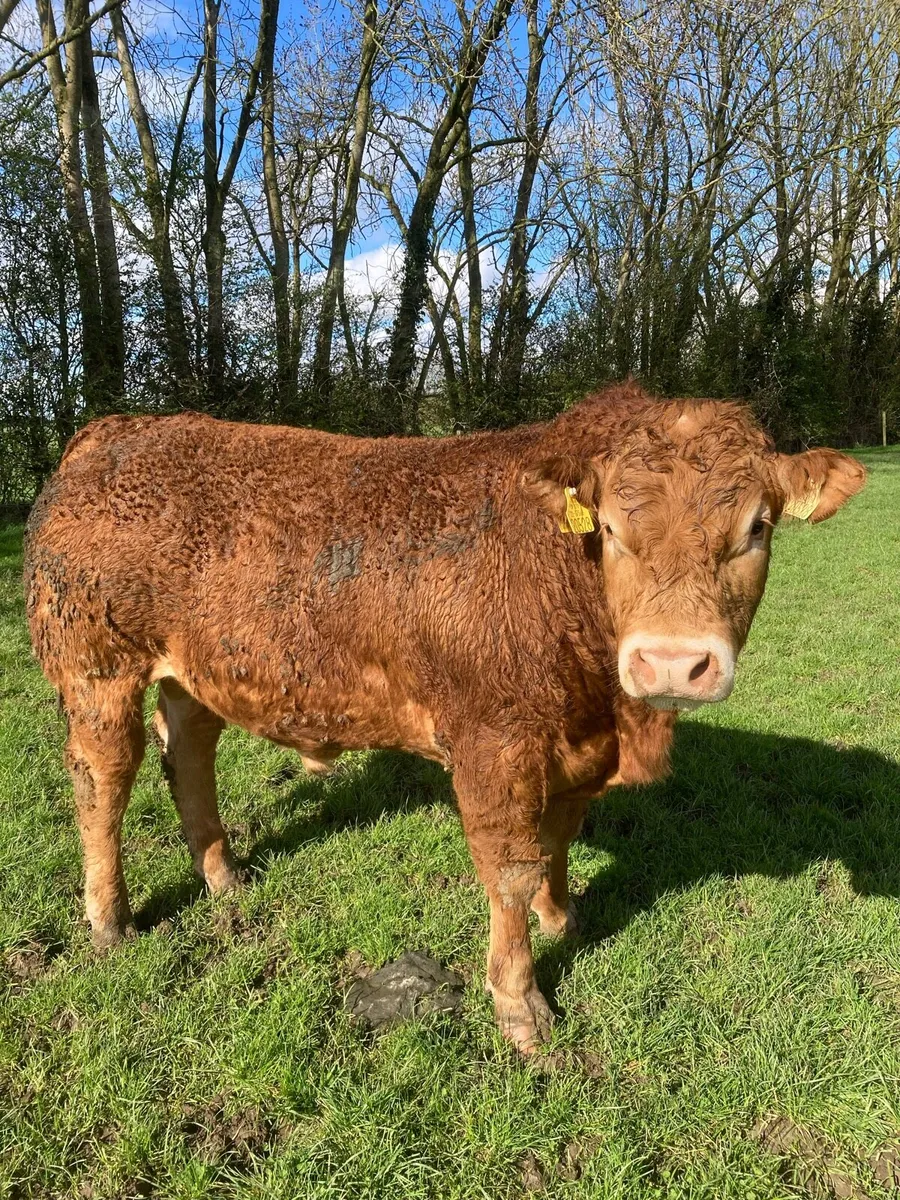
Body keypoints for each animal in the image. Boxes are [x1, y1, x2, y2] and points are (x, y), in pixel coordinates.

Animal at [23, 383, 865, 1052]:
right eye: (612, 531)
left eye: (757, 527)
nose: (670, 663)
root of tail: (117, 430)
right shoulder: (495, 745)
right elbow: (510, 870)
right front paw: (521, 1006)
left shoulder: (576, 748)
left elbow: (556, 843)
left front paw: (563, 917)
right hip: (95, 665)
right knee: (103, 781)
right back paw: (110, 919)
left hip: (197, 669)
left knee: (190, 752)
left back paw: (224, 876)